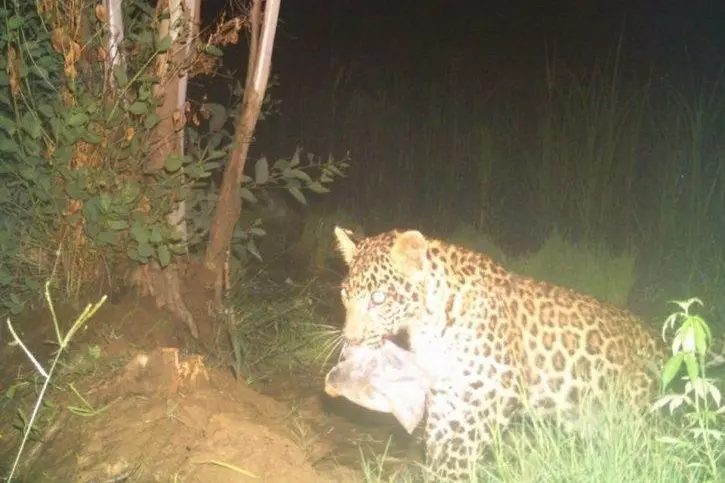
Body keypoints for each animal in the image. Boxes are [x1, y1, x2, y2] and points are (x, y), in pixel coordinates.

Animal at [333, 226, 666, 481]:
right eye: (345, 294)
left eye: (379, 298)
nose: (350, 339)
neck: (427, 323)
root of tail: (660, 342)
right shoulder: (447, 398)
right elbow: (438, 448)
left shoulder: (492, 394)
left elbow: (458, 451)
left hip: (637, 418)